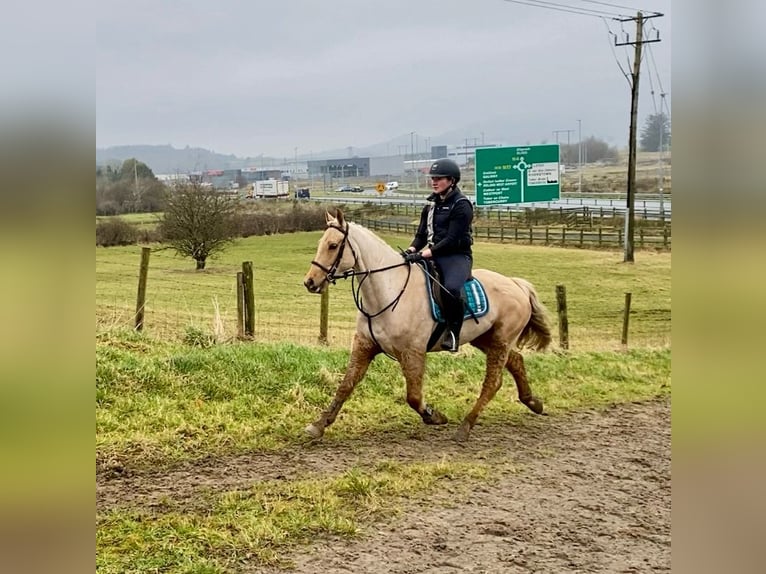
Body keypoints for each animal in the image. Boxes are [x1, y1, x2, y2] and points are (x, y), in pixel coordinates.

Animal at [302, 209, 552, 444]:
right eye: (321, 243)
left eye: (333, 245)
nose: (310, 282)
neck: (390, 291)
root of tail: (517, 284)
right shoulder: (364, 346)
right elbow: (345, 385)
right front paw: (318, 425)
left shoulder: (412, 353)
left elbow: (413, 396)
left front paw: (434, 416)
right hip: (485, 338)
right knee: (516, 360)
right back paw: (533, 402)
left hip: (500, 340)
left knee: (493, 382)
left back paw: (466, 426)